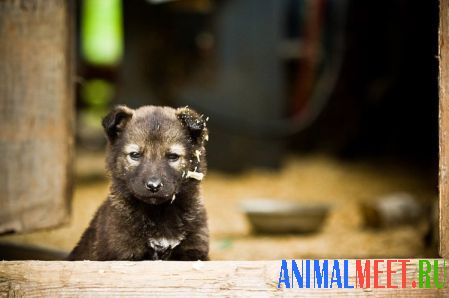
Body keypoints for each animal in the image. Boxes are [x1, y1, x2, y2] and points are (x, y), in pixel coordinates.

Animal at [68, 105, 208, 260]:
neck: (158, 212)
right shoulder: (125, 252)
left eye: (173, 156)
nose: (153, 186)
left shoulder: (194, 250)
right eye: (135, 155)